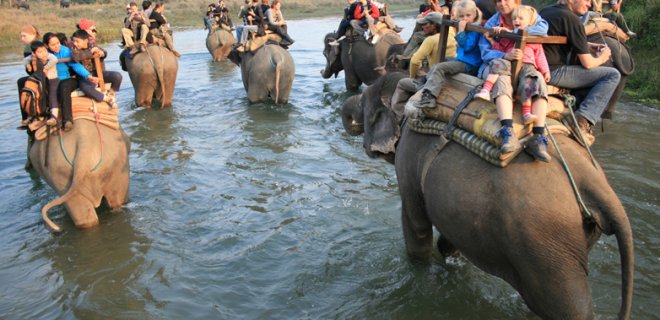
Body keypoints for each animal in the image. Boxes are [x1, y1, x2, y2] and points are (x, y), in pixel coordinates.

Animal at [342, 76, 632, 318]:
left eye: (365, 104)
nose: (350, 115)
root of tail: (595, 183)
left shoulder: (409, 159)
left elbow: (416, 226)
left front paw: (421, 271)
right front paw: (450, 259)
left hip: (548, 248)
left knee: (571, 307)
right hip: (580, 237)